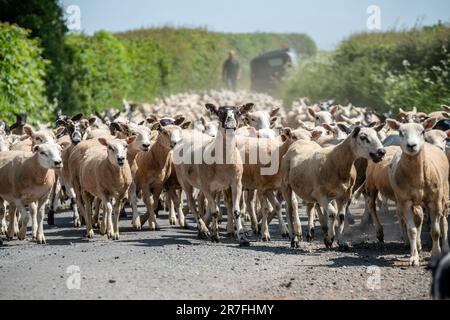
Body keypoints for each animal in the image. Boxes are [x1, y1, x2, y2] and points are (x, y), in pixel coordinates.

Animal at [384, 119, 448, 266]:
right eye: (400, 132)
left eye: (422, 131)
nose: (411, 145)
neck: (418, 178)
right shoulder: (405, 202)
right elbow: (412, 230)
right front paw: (414, 257)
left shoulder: (434, 201)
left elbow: (435, 231)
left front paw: (435, 255)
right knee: (418, 220)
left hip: (443, 196)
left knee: (443, 221)